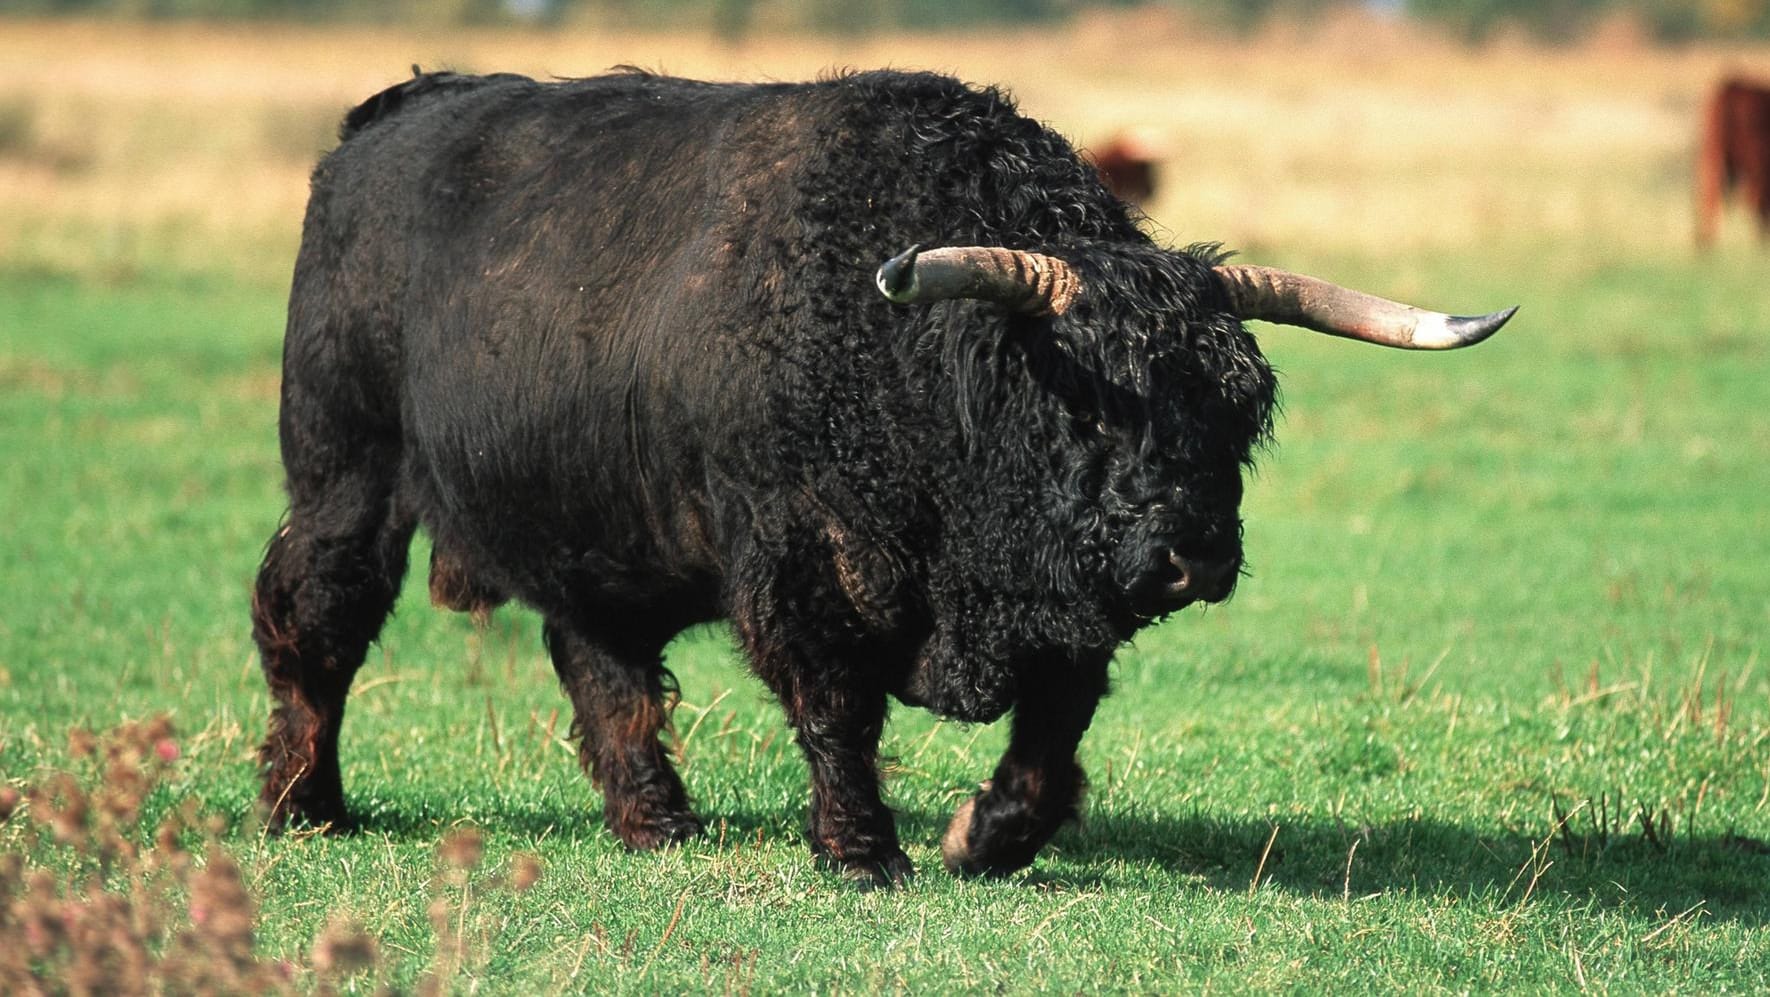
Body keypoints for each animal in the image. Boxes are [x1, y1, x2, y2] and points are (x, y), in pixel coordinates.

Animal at [249, 66, 1515, 885]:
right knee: (314, 622)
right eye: (1094, 403)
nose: (1192, 550)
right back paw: (303, 805)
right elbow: (838, 710)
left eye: (1240, 406)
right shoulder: (805, 566)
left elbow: (1053, 736)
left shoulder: (1064, 606)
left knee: (601, 663)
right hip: (345, 476)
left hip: (593, 530)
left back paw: (659, 821)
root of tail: (399, 110)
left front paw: (981, 839)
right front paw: (866, 853)